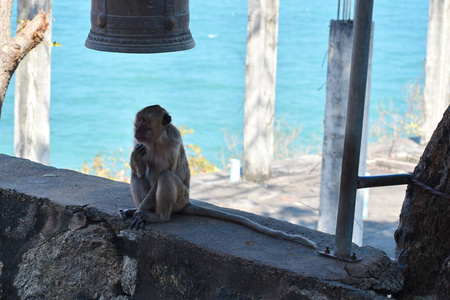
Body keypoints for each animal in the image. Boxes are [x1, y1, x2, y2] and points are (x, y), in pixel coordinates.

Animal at [119, 105, 316, 248]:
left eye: (143, 120)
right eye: (138, 120)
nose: (136, 129)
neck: (157, 140)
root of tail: (187, 202)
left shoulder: (172, 142)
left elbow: (165, 173)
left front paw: (139, 213)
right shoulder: (140, 143)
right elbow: (139, 171)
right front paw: (135, 158)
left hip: (180, 198)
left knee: (166, 176)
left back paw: (159, 217)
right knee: (137, 175)